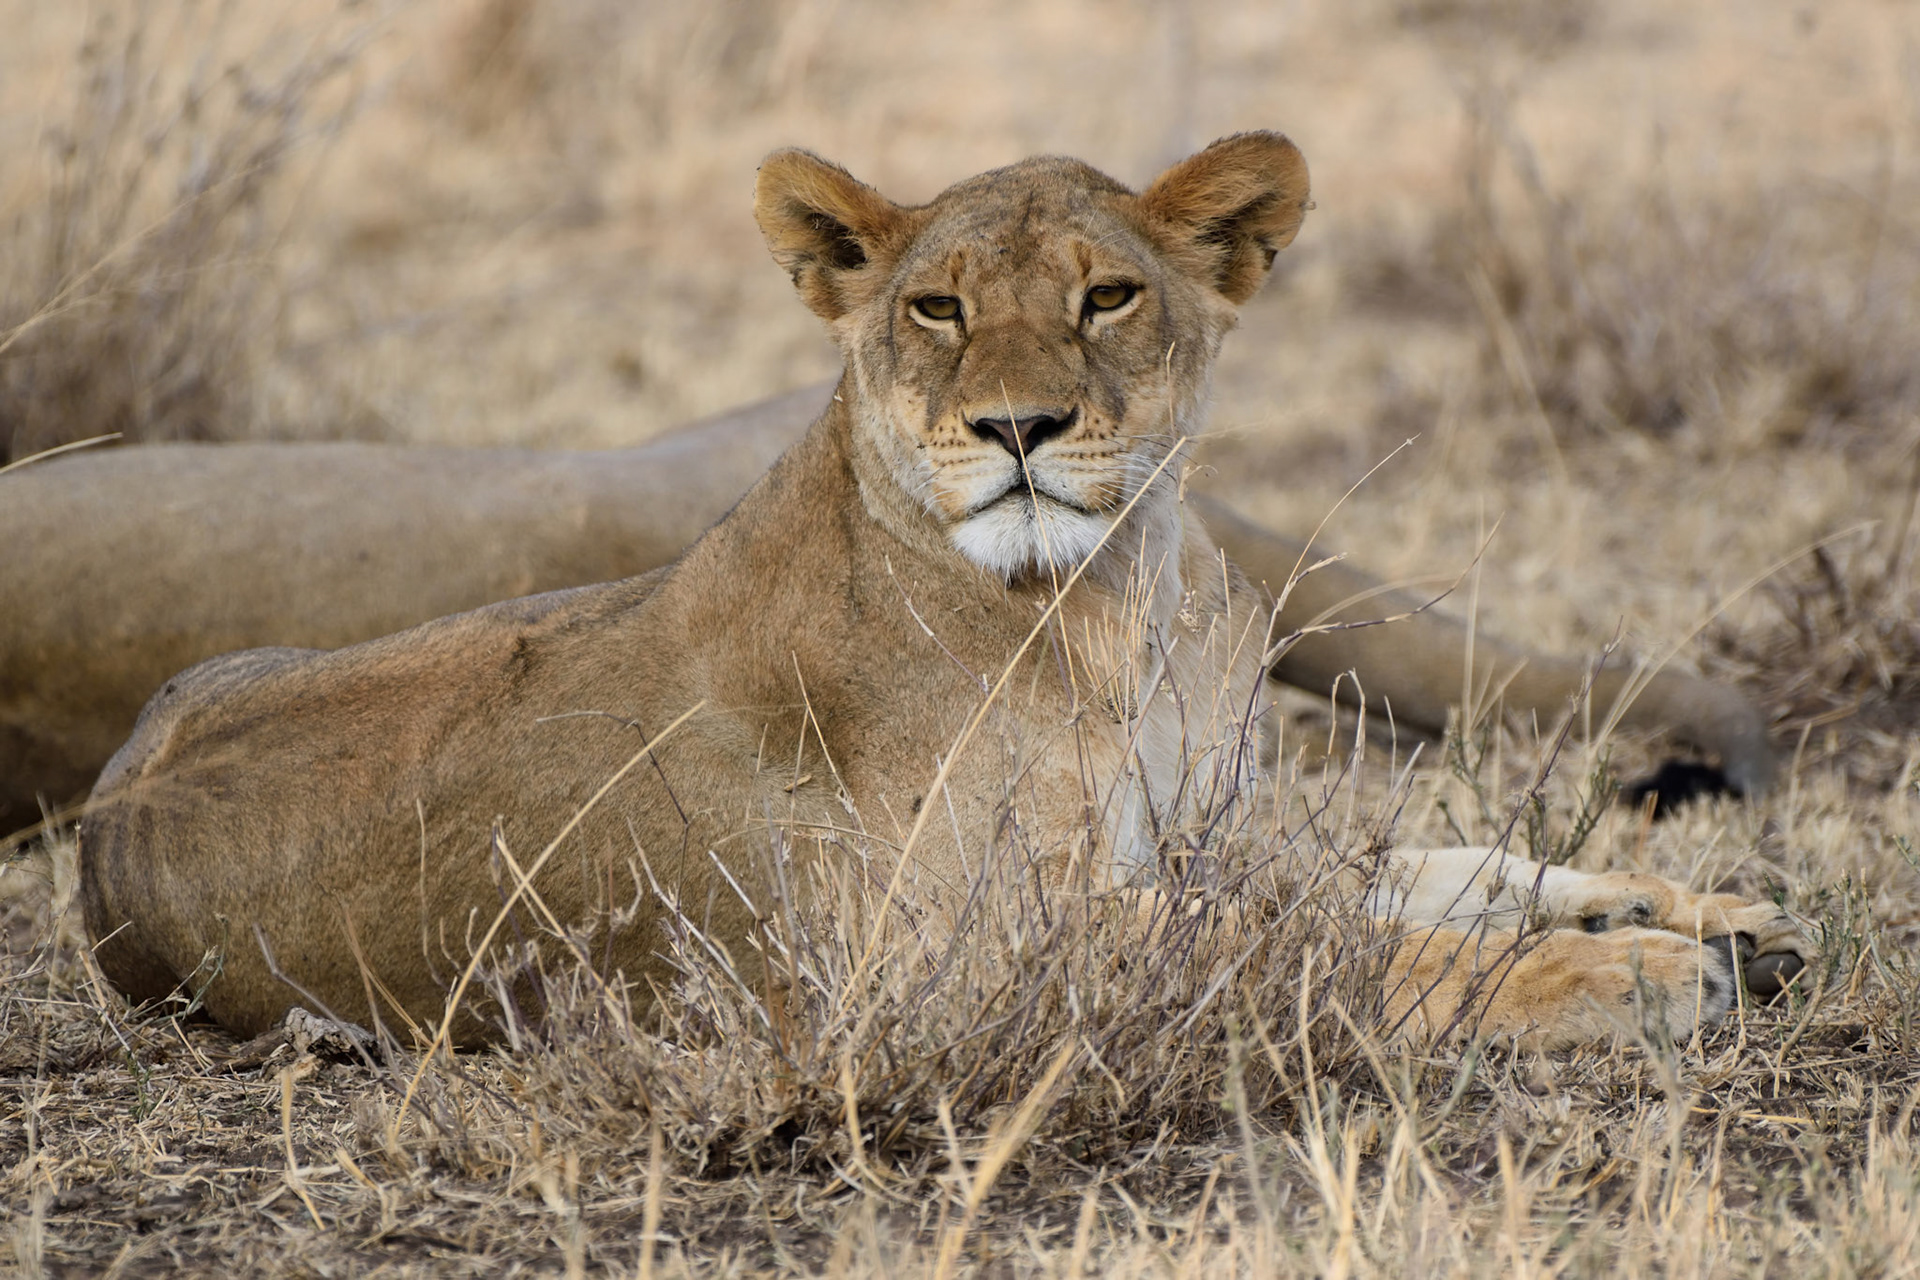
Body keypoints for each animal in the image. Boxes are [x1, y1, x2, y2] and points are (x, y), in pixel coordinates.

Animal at [79, 134, 1804, 1049]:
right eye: (936, 308)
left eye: (1106, 295)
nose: (1020, 428)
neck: (1120, 607)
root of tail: (108, 814)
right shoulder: (961, 962)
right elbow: (1345, 949)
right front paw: (1643, 971)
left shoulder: (1194, 844)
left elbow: (1419, 871)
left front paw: (1696, 908)